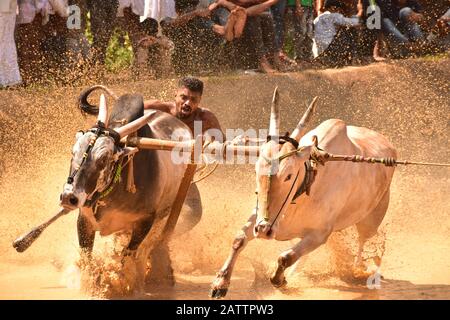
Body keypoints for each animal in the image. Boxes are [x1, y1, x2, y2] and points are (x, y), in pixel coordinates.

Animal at [209, 91, 396, 298]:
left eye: (289, 175)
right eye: (256, 169)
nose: (264, 231)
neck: (307, 187)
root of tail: (388, 144)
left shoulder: (320, 234)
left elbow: (285, 257)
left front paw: (279, 279)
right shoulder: (259, 216)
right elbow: (239, 239)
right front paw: (220, 283)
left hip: (371, 220)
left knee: (362, 242)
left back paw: (358, 269)